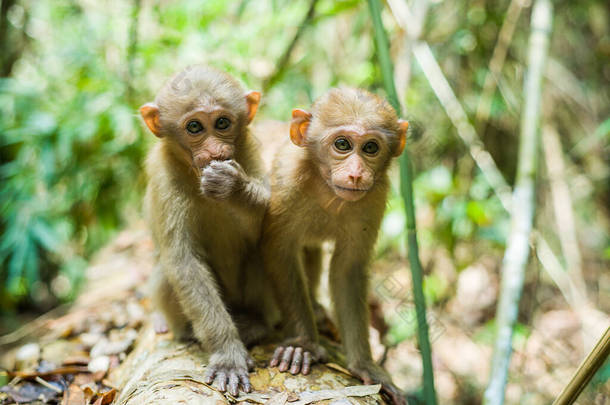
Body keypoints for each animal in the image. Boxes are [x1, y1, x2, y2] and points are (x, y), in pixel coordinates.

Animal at [139, 65, 274, 394]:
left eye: (222, 123)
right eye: (195, 127)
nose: (214, 151)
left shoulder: (248, 151)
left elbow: (267, 224)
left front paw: (232, 187)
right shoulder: (165, 179)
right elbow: (184, 262)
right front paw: (227, 354)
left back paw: (256, 323)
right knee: (166, 273)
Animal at [262, 87, 408, 402]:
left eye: (370, 148)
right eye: (342, 144)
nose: (356, 173)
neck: (325, 187)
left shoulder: (373, 198)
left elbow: (347, 270)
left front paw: (365, 364)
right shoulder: (288, 178)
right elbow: (280, 252)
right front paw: (303, 344)